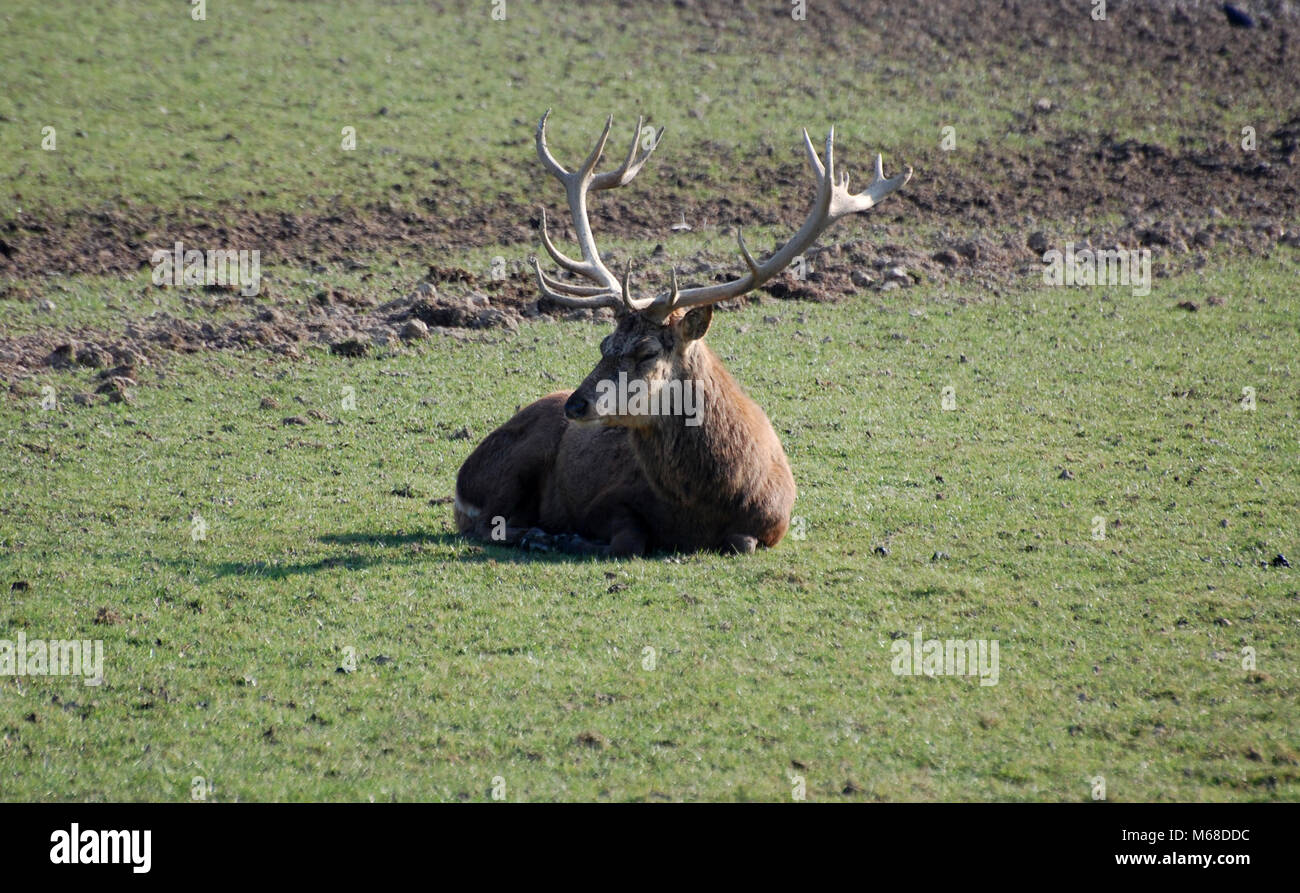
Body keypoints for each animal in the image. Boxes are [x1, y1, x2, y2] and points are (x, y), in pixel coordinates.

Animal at [454, 111, 910, 556]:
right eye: (604, 344)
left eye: (647, 351)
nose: (576, 404)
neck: (705, 503)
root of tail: (461, 480)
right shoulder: (605, 501)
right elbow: (629, 542)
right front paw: (573, 538)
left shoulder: (775, 520)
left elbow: (741, 542)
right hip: (512, 467)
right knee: (487, 524)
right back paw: (539, 535)